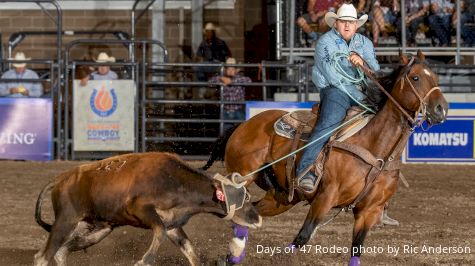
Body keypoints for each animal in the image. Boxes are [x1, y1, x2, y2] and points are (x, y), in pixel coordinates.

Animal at [33, 152, 262, 266]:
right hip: (65, 222)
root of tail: (60, 179)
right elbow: (158, 233)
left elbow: (190, 251)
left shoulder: (173, 224)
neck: (175, 182)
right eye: (245, 197)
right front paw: (144, 261)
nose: (258, 219)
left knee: (61, 252)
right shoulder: (142, 210)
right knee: (43, 257)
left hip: (96, 228)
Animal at [205, 51, 450, 264]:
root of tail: (243, 125)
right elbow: (303, 236)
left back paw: (233, 256)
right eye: (415, 77)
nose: (441, 109)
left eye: (436, 77)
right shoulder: (325, 197)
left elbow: (356, 249)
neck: (376, 150)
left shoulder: (369, 212)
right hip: (243, 177)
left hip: (282, 197)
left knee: (250, 213)